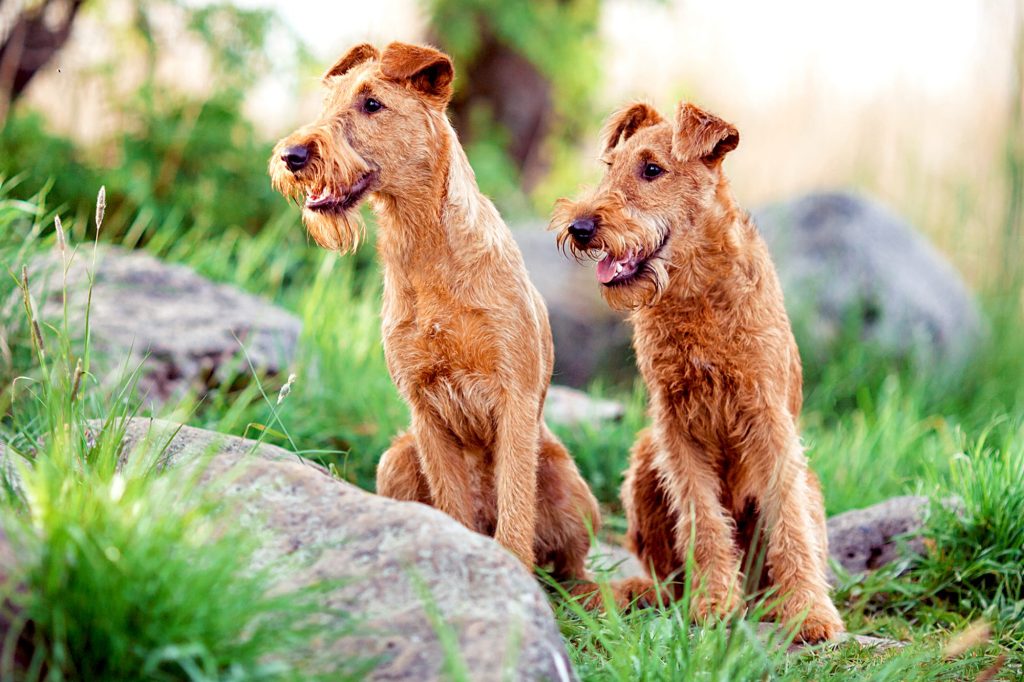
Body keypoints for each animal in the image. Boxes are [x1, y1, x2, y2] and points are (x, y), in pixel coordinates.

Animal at [266, 41, 598, 573]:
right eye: (329, 101)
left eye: (372, 103)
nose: (290, 155)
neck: (427, 249)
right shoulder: (425, 409)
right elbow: (451, 503)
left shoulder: (514, 397)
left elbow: (515, 510)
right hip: (396, 457)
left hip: (568, 482)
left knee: (572, 566)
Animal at [552, 99, 847, 638]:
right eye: (610, 166)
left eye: (652, 169)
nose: (580, 228)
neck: (694, 291)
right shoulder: (677, 426)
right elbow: (703, 520)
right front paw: (713, 604)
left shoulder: (768, 420)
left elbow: (789, 523)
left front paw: (810, 614)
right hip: (645, 460)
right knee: (667, 575)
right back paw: (653, 596)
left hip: (806, 482)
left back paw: (770, 602)